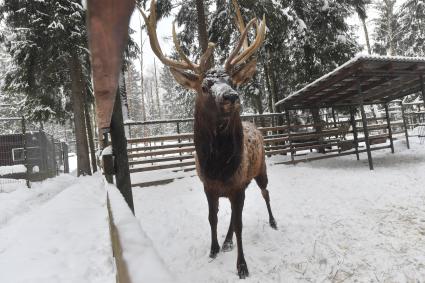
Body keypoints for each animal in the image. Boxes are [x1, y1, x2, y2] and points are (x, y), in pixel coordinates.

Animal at [141, 0, 276, 280]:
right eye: (204, 86)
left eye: (233, 80)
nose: (231, 96)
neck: (219, 167)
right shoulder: (209, 186)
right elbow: (213, 218)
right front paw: (213, 249)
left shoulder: (237, 185)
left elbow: (239, 224)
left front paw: (242, 266)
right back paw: (226, 242)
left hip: (261, 170)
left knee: (266, 193)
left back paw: (272, 221)